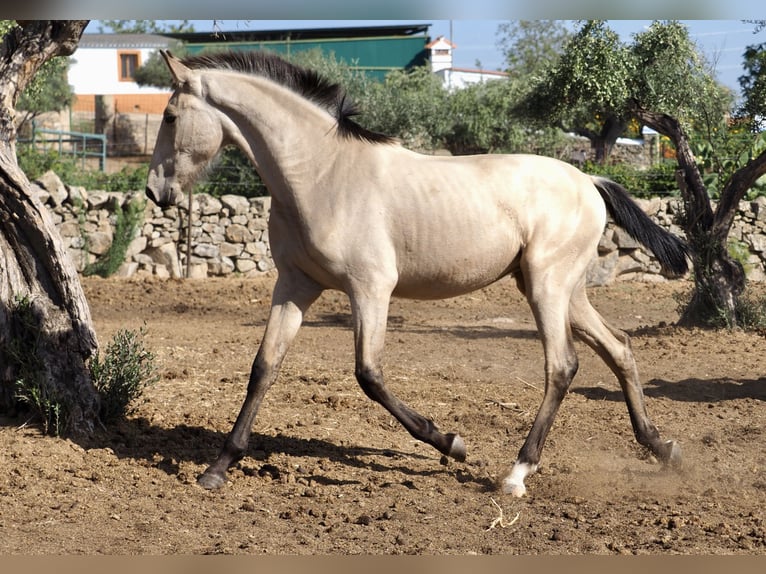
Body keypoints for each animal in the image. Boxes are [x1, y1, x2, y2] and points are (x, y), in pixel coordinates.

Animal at [147, 50, 688, 500]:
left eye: (171, 117)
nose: (155, 192)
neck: (321, 175)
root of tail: (589, 181)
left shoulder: (370, 289)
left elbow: (369, 375)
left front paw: (451, 442)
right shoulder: (296, 285)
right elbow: (264, 368)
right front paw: (218, 468)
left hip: (547, 287)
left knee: (563, 365)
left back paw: (516, 474)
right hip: (561, 289)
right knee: (618, 347)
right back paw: (662, 448)